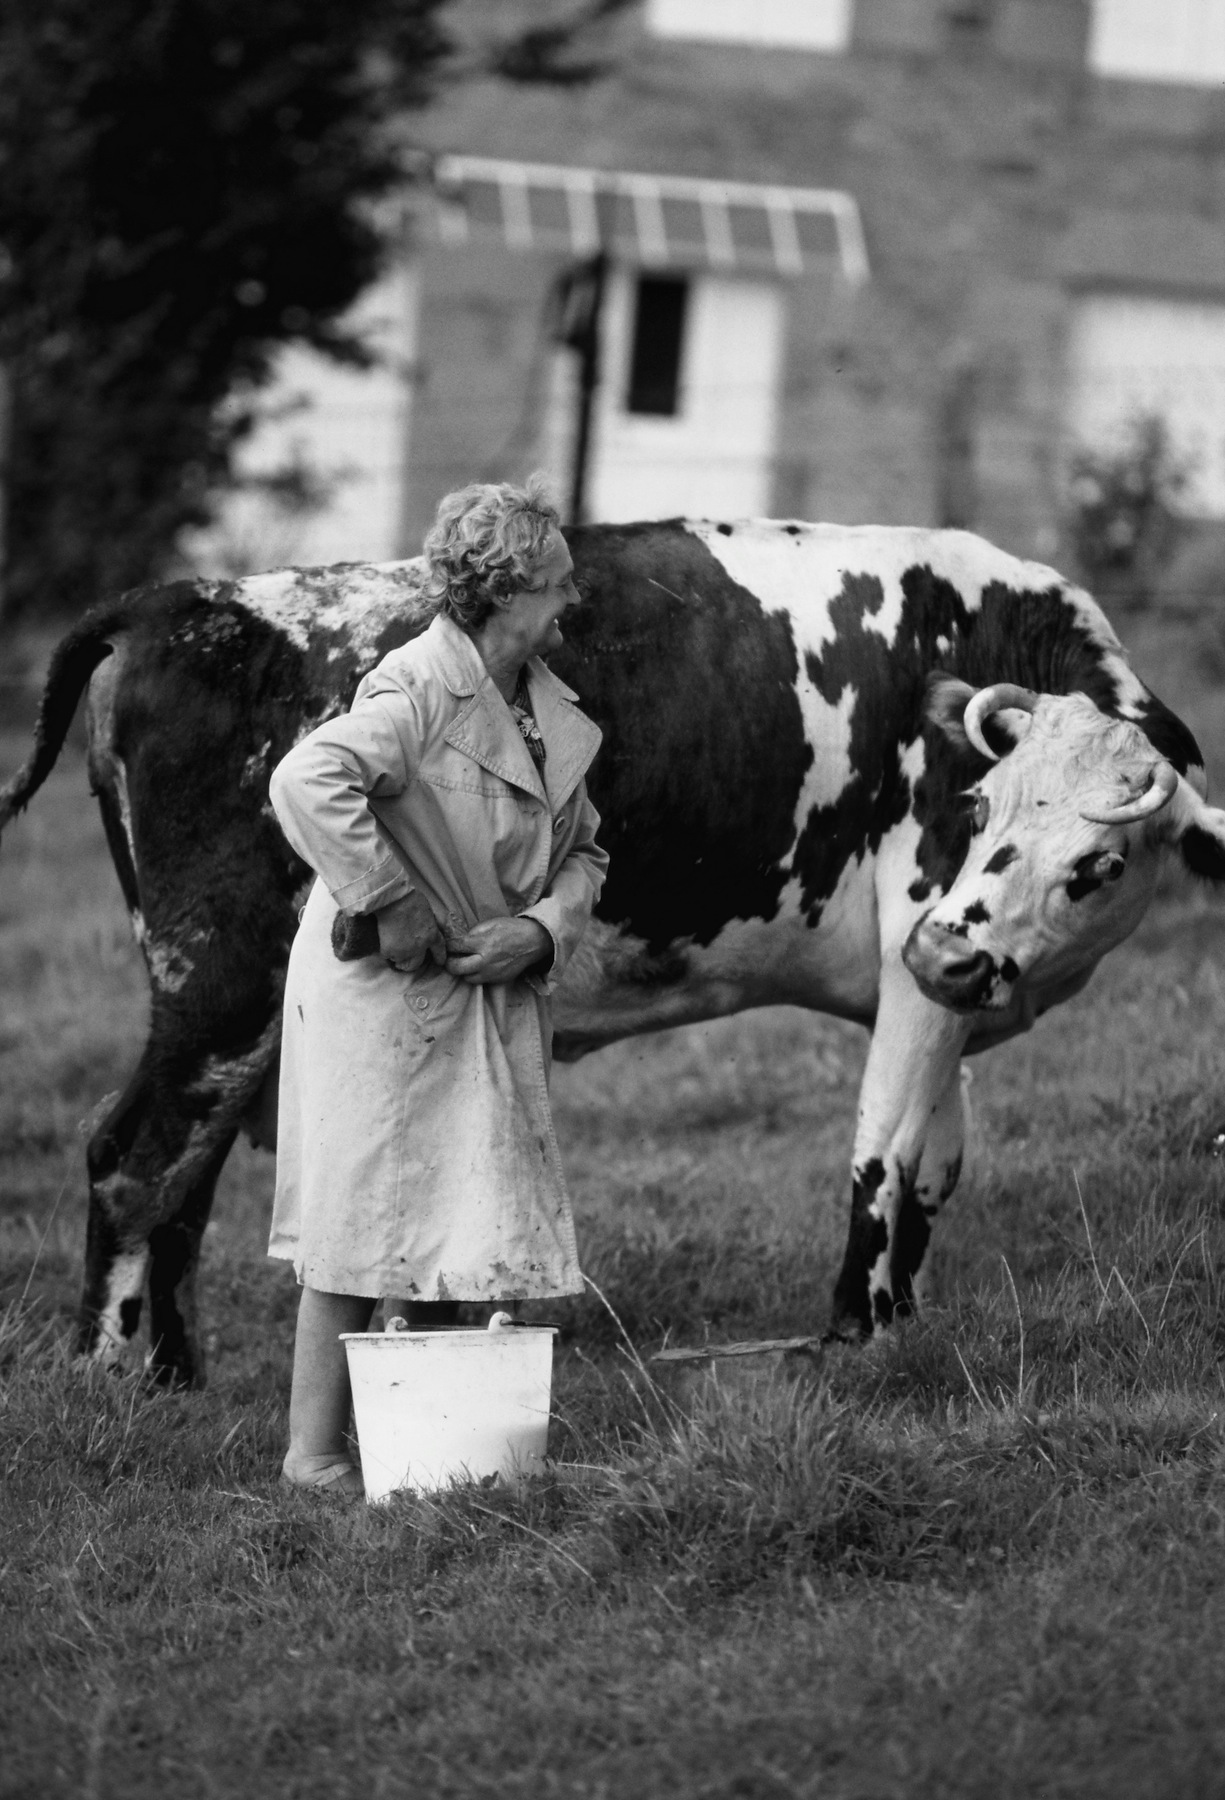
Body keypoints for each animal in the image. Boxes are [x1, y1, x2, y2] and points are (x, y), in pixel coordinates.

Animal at [4, 519, 1225, 1388]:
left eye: (1099, 863)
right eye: (976, 811)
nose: (953, 958)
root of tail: (180, 600)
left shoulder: (938, 990)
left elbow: (931, 1166)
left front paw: (909, 1322)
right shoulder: (918, 956)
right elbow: (881, 1160)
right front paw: (861, 1334)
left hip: (230, 1014)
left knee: (184, 1176)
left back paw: (176, 1375)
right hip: (220, 981)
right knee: (134, 1158)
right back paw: (107, 1380)